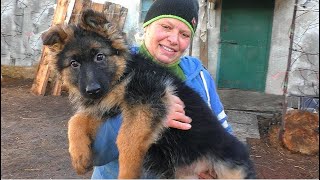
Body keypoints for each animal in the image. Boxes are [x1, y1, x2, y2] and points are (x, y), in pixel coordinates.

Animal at [42, 9, 255, 179]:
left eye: (99, 57)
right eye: (74, 64)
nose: (92, 90)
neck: (124, 74)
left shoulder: (148, 98)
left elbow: (126, 140)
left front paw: (127, 175)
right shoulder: (107, 108)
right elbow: (76, 120)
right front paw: (79, 157)